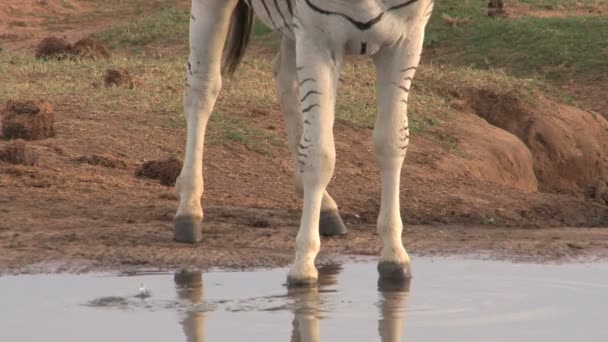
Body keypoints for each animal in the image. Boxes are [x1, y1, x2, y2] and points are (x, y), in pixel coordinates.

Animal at [173, 0, 434, 286]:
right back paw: (189, 209)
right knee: (202, 87)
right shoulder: (316, 38)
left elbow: (391, 142)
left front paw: (394, 253)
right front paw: (304, 265)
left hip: (294, 32)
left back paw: (325, 207)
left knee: (286, 82)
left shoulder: (407, 38)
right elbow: (320, 155)